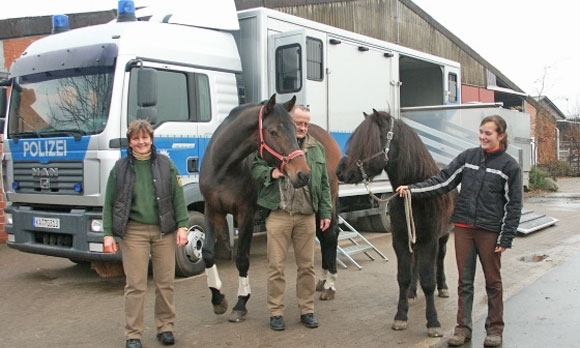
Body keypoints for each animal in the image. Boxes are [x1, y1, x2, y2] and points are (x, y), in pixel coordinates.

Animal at [336, 109, 454, 338]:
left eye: (368, 141)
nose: (340, 171)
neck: (415, 191)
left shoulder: (430, 241)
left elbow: (429, 280)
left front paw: (433, 322)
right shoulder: (400, 240)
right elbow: (403, 277)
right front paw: (401, 316)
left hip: (443, 236)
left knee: (441, 260)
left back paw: (443, 287)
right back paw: (412, 293)